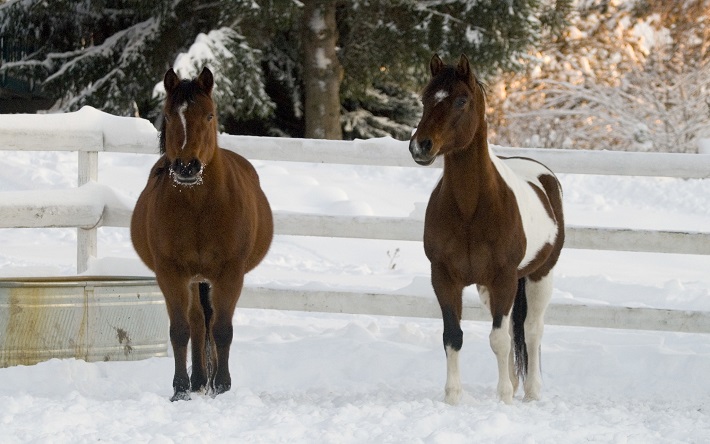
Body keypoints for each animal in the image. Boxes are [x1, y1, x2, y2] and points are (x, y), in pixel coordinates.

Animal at [129, 67, 274, 402]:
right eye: (169, 116)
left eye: (209, 116)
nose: (186, 166)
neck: (198, 207)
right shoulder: (170, 274)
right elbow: (180, 329)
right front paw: (180, 389)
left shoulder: (230, 273)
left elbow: (222, 329)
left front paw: (222, 385)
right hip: (195, 279)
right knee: (197, 322)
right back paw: (197, 380)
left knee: (210, 322)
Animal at [408, 53, 564, 404]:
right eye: (425, 98)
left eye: (461, 100)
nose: (420, 146)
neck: (471, 210)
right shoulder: (445, 278)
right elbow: (453, 336)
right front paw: (453, 397)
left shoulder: (503, 278)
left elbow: (500, 339)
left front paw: (504, 397)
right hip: (488, 287)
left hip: (540, 275)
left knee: (532, 331)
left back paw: (530, 392)